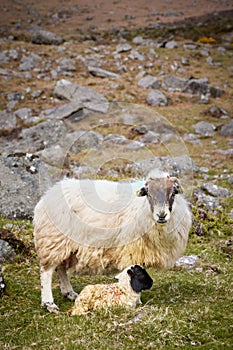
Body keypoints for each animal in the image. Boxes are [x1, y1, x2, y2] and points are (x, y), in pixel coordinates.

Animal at [34, 171, 191, 314]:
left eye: (173, 194)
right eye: (148, 194)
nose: (161, 215)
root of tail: (48, 195)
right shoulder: (132, 250)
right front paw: (136, 299)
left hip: (64, 245)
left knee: (60, 268)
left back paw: (69, 293)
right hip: (52, 240)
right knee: (46, 272)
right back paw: (49, 304)